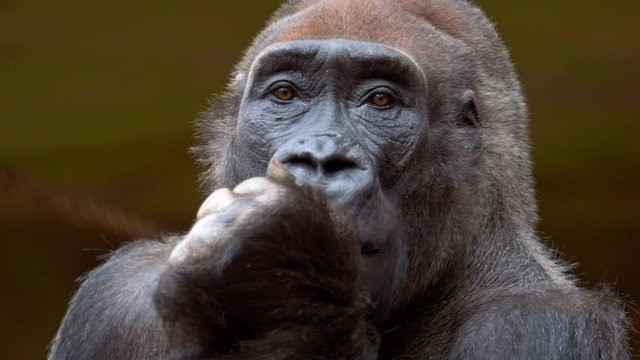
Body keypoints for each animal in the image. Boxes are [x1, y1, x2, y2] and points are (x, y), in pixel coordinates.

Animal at [50, 0, 632, 358]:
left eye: (381, 102)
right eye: (285, 94)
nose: (318, 159)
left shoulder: (537, 321)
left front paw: (280, 273)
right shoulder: (114, 299)